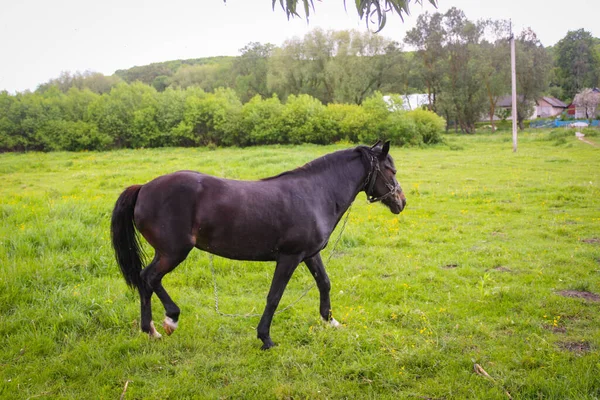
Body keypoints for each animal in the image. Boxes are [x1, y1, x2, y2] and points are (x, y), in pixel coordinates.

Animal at [110, 142, 406, 348]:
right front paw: (265, 338)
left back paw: (152, 330)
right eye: (391, 170)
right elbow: (274, 297)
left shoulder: (310, 255)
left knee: (145, 279)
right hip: (173, 252)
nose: (401, 202)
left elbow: (324, 283)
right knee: (149, 278)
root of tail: (144, 188)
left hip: (166, 252)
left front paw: (330, 321)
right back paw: (168, 320)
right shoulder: (289, 258)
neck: (315, 194)